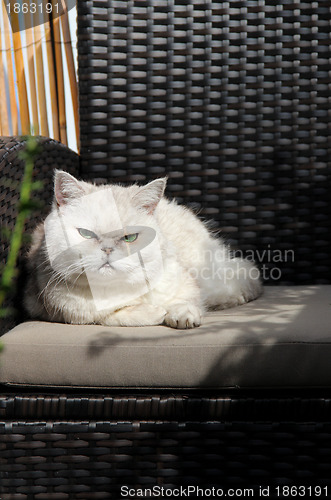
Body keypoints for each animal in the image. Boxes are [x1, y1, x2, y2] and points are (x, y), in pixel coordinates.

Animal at [24, 170, 264, 330]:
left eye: (130, 237)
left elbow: (187, 299)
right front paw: (154, 312)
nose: (108, 250)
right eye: (86, 234)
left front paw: (181, 314)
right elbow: (110, 316)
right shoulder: (54, 307)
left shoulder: (185, 281)